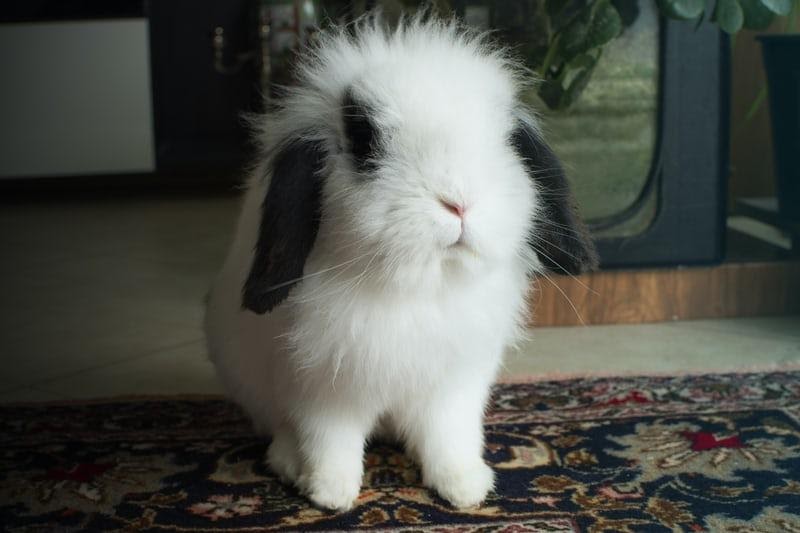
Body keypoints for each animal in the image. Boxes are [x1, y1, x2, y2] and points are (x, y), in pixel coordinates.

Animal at [204, 13, 597, 512]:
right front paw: (331, 494)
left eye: (506, 140)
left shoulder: (455, 387)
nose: (459, 202)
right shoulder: (323, 389)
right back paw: (291, 465)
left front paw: (466, 488)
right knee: (283, 430)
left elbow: (450, 437)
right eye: (364, 141)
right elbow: (330, 441)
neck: (420, 288)